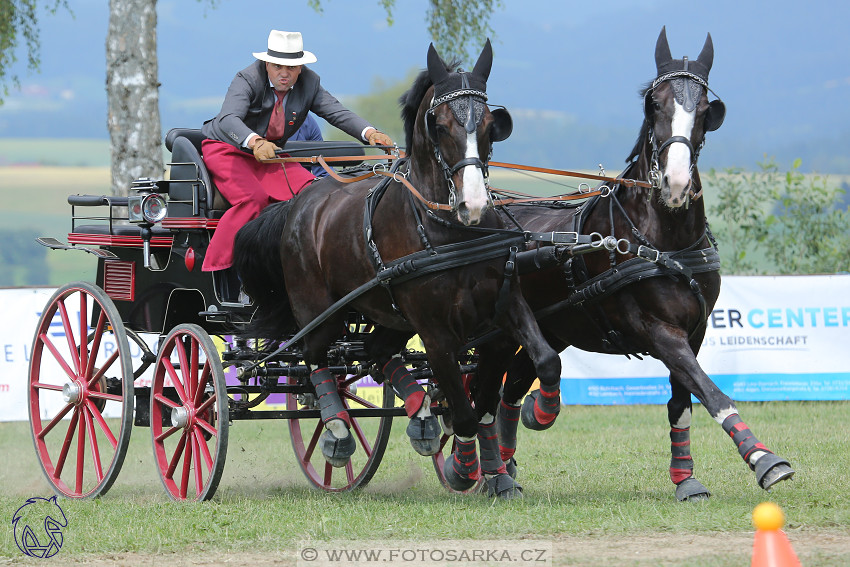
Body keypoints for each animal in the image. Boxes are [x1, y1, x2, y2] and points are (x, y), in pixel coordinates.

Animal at [235, 42, 560, 500]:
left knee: (375, 352)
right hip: (321, 311)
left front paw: (518, 440)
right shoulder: (437, 333)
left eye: (489, 125)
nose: (475, 205)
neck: (451, 231)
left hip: (389, 316)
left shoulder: (502, 313)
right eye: (440, 125)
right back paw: (338, 431)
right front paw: (463, 470)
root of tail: (299, 201)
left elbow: (527, 374)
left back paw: (420, 415)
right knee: (315, 361)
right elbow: (464, 411)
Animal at [494, 27, 792, 502]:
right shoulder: (658, 329)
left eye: (705, 110)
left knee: (517, 385)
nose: (675, 184)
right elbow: (710, 390)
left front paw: (686, 478)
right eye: (655, 104)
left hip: (554, 329)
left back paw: (511, 454)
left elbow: (682, 402)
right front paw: (764, 458)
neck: (663, 240)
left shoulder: (695, 330)